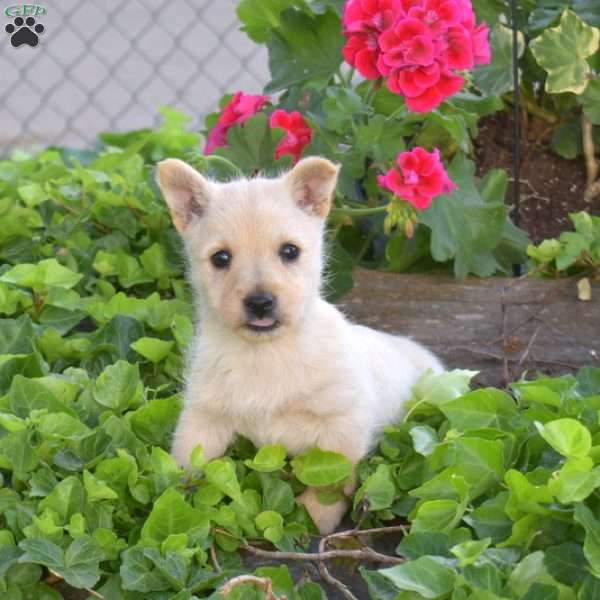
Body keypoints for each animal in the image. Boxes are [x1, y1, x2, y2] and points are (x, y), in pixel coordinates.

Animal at [157, 156, 442, 536]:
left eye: (289, 251)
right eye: (220, 258)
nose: (260, 303)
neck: (266, 354)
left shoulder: (343, 424)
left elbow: (327, 484)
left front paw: (312, 521)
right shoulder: (204, 417)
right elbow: (187, 461)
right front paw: (174, 499)